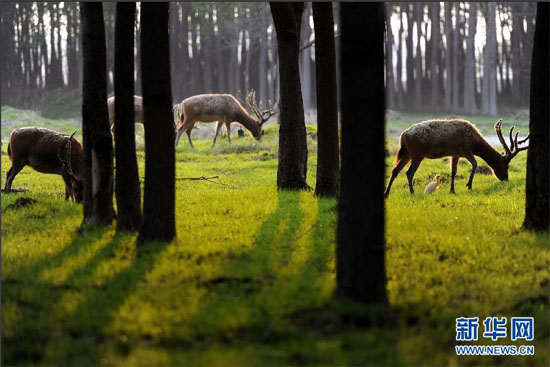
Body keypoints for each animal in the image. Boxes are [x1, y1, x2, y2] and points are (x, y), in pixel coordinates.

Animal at [384, 119, 532, 197]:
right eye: (506, 165)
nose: (506, 179)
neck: (475, 144)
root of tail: (403, 135)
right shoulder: (465, 150)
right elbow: (475, 164)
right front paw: (469, 185)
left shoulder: (455, 153)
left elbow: (453, 171)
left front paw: (452, 190)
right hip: (417, 153)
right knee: (409, 172)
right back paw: (412, 192)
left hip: (407, 153)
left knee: (395, 170)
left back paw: (386, 193)